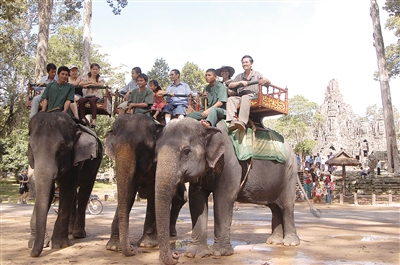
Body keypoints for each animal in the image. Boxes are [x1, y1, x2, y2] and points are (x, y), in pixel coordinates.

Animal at [27, 111, 102, 256]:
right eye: (31, 146)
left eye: (62, 147)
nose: (32, 255)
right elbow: (50, 191)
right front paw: (33, 244)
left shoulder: (76, 158)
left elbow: (67, 188)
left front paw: (59, 245)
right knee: (75, 195)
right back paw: (70, 231)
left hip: (95, 165)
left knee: (84, 192)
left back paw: (78, 234)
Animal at [104, 113, 187, 256]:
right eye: (113, 146)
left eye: (141, 146)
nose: (132, 249)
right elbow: (128, 194)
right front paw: (114, 247)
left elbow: (152, 193)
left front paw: (147, 244)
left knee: (179, 198)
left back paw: (170, 234)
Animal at [155, 118, 302, 262]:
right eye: (156, 152)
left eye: (186, 151)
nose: (175, 255)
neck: (206, 126)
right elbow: (196, 201)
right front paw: (195, 254)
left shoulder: (231, 163)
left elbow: (223, 198)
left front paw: (220, 253)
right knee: (275, 207)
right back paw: (274, 242)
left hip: (290, 172)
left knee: (286, 205)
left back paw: (290, 243)